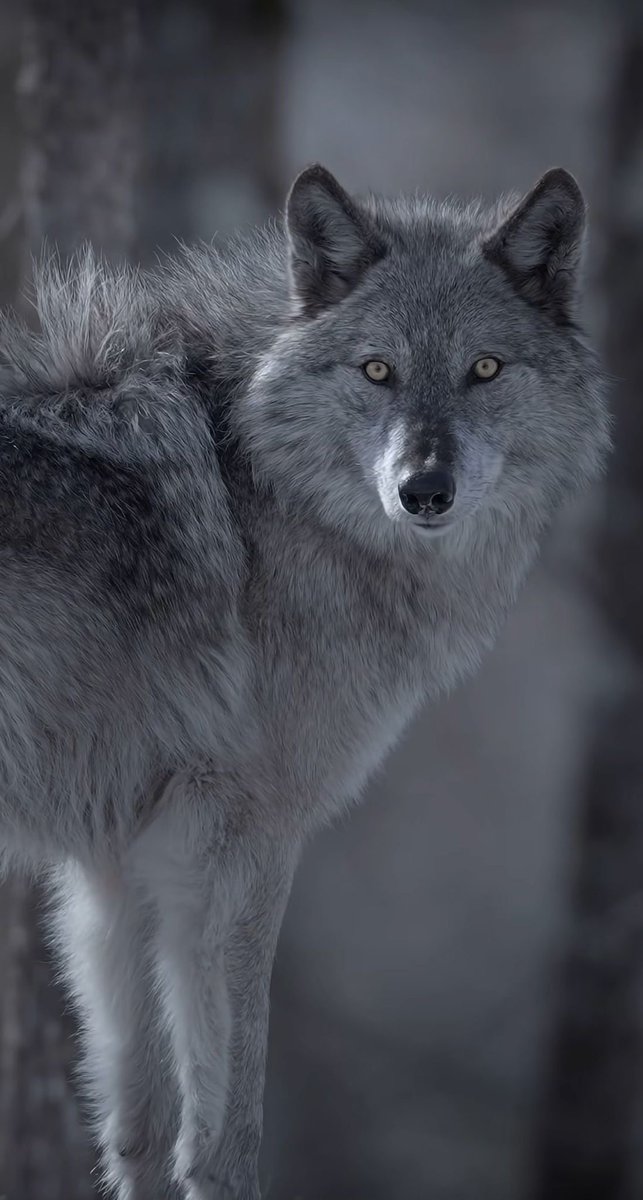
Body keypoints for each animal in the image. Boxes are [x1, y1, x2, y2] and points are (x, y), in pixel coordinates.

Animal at [0, 163, 609, 1199]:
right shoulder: (236, 843)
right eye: (377, 371)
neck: (266, 490)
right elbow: (224, 1139)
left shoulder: (117, 869)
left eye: (484, 370)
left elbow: (139, 1129)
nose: (423, 491)